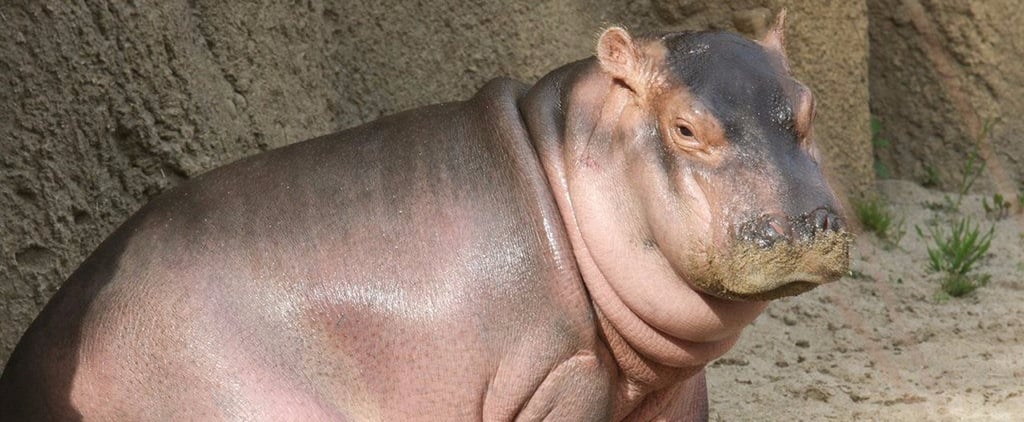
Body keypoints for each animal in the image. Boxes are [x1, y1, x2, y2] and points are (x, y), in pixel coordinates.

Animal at [0, 12, 850, 421]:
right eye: (683, 129)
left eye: (810, 107)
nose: (807, 225)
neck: (565, 149)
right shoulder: (562, 376)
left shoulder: (673, 393)